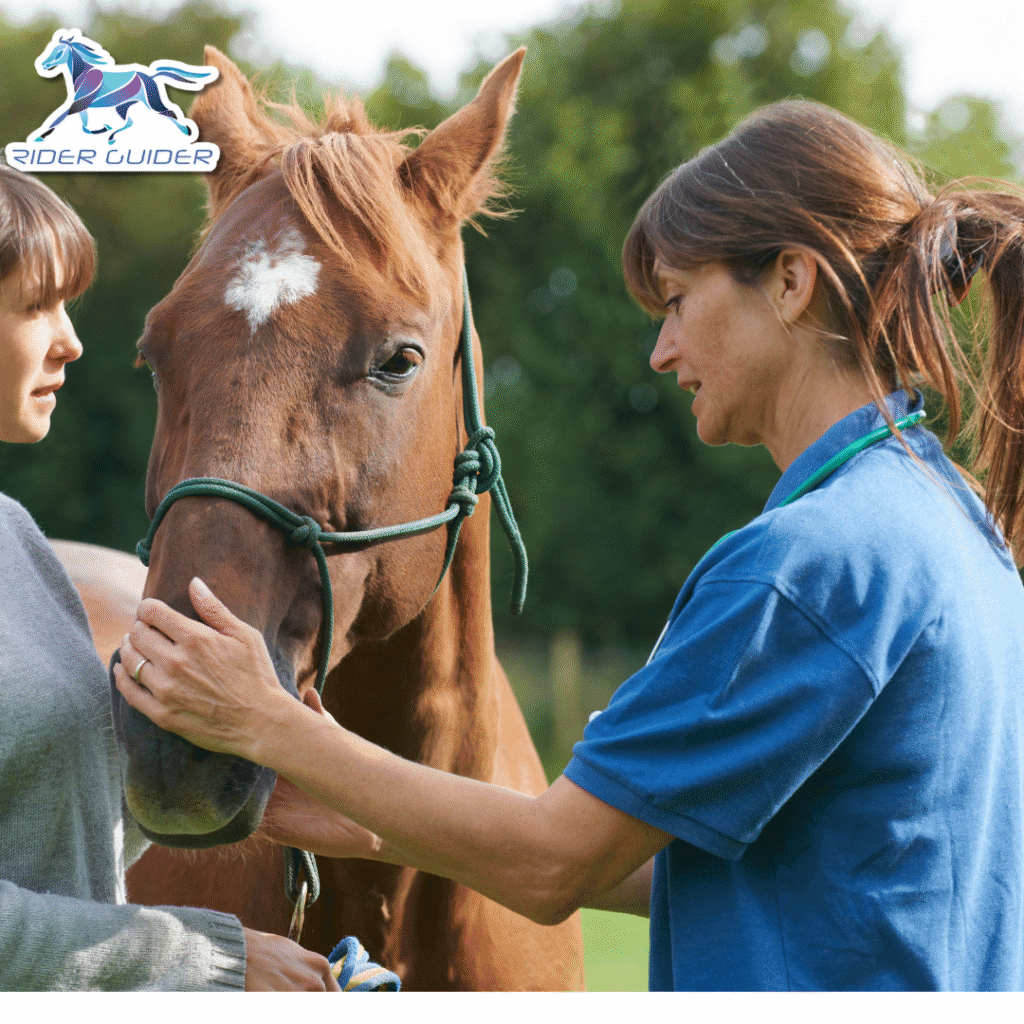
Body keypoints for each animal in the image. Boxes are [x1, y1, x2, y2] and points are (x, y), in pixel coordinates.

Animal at [33, 31, 215, 143]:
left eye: (58, 52)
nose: (43, 65)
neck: (83, 72)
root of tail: (152, 77)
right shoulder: (81, 105)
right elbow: (84, 125)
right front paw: (101, 129)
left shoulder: (77, 104)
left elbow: (59, 118)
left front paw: (39, 137)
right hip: (122, 107)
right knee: (130, 122)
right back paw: (111, 136)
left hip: (151, 103)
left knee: (170, 113)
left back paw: (187, 133)